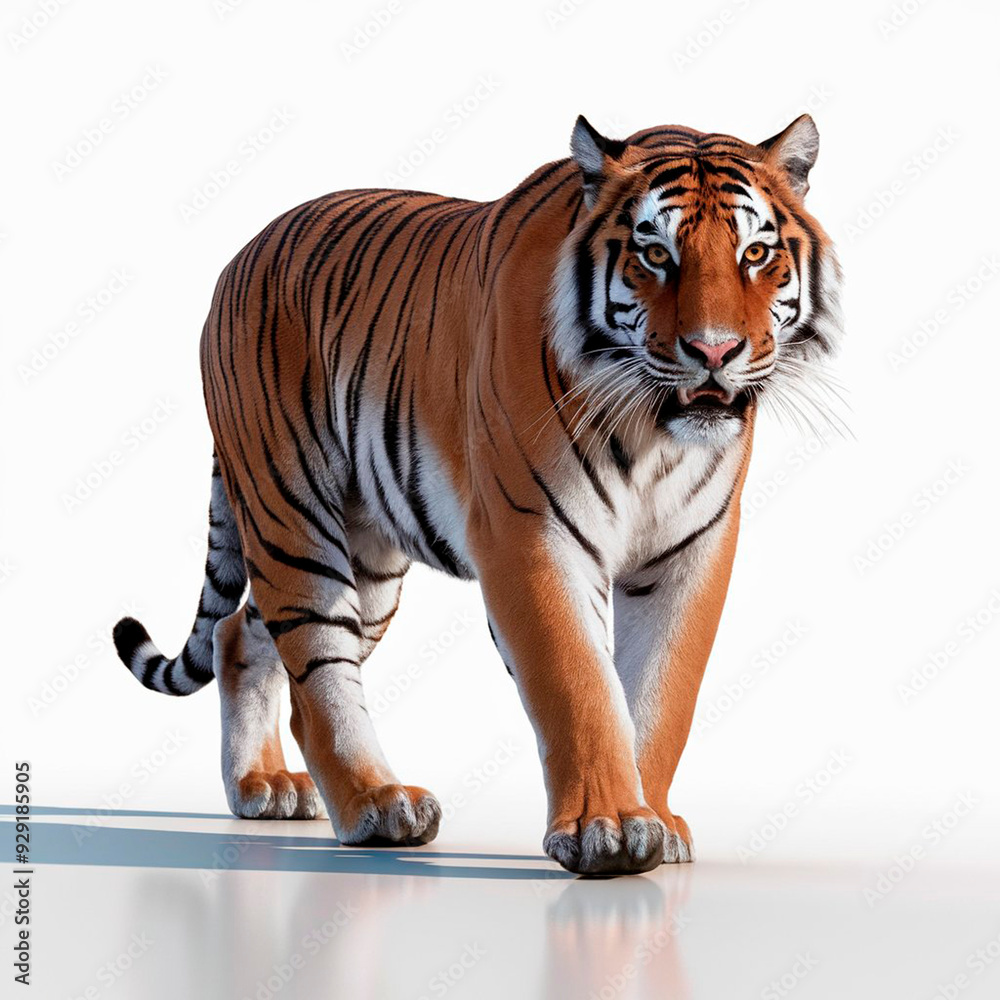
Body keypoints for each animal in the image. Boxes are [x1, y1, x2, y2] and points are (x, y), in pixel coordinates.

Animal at [113, 113, 843, 875]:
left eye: (755, 253)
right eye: (655, 255)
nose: (715, 352)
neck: (651, 433)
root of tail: (242, 252)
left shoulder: (692, 549)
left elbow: (661, 693)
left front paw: (655, 821)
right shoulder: (531, 535)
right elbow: (578, 684)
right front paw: (608, 828)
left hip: (366, 560)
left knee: (241, 631)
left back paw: (263, 786)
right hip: (292, 513)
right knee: (314, 672)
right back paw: (378, 805)